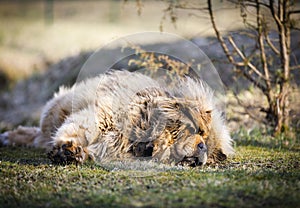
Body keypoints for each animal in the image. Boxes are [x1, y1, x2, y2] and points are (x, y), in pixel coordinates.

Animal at [0, 70, 234, 167]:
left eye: (207, 142)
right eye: (199, 132)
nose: (203, 149)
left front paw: (77, 154)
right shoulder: (100, 116)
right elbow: (79, 129)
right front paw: (69, 148)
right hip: (54, 110)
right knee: (40, 133)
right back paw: (11, 137)